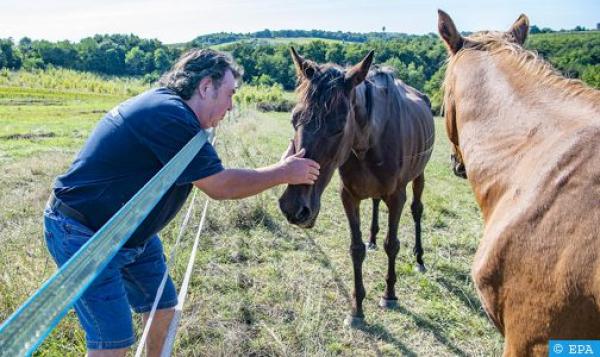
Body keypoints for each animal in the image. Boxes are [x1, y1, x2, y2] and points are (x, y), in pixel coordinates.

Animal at [278, 46, 434, 324]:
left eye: (340, 126)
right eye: (294, 118)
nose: (293, 208)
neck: (370, 138)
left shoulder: (397, 197)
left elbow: (392, 245)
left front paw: (389, 294)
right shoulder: (349, 196)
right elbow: (356, 248)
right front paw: (357, 308)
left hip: (419, 176)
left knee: (417, 211)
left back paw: (419, 258)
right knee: (375, 203)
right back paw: (373, 239)